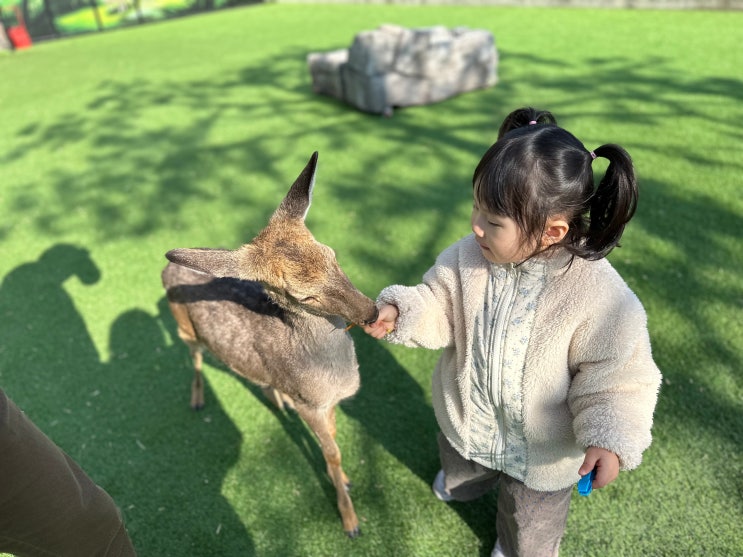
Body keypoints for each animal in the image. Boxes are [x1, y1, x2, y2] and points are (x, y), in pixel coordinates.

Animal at [163, 150, 380, 536]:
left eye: (333, 255)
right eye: (304, 296)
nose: (371, 312)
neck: (333, 379)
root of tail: (165, 271)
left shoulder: (327, 404)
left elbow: (334, 438)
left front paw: (346, 481)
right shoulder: (313, 403)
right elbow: (332, 451)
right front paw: (350, 520)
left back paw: (277, 399)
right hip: (185, 330)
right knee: (196, 357)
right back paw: (198, 400)